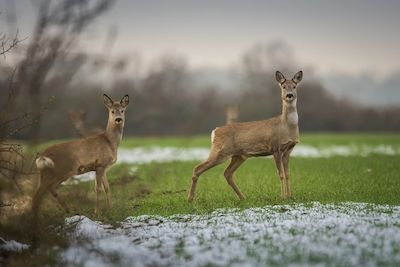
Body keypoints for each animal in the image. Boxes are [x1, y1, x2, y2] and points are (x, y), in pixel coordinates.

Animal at [188, 71, 304, 203]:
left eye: (294, 86)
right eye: (283, 87)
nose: (289, 95)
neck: (286, 126)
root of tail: (215, 131)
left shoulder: (288, 150)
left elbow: (288, 174)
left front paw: (290, 196)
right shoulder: (275, 148)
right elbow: (281, 174)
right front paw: (283, 197)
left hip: (239, 156)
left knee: (227, 173)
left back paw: (243, 197)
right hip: (220, 151)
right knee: (197, 168)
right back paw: (190, 199)